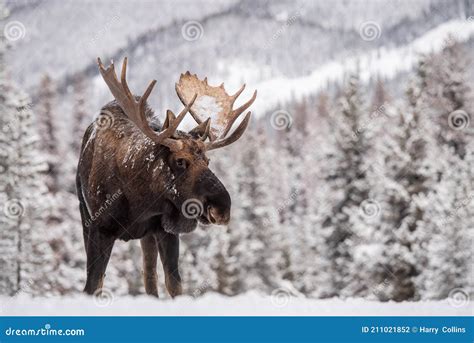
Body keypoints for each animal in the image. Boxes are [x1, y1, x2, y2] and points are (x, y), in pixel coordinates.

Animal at [77, 57, 256, 296]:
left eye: (208, 161)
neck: (138, 201)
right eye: (180, 161)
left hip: (147, 236)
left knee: (150, 279)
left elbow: (175, 285)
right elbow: (92, 284)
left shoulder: (165, 231)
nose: (222, 208)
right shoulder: (98, 228)